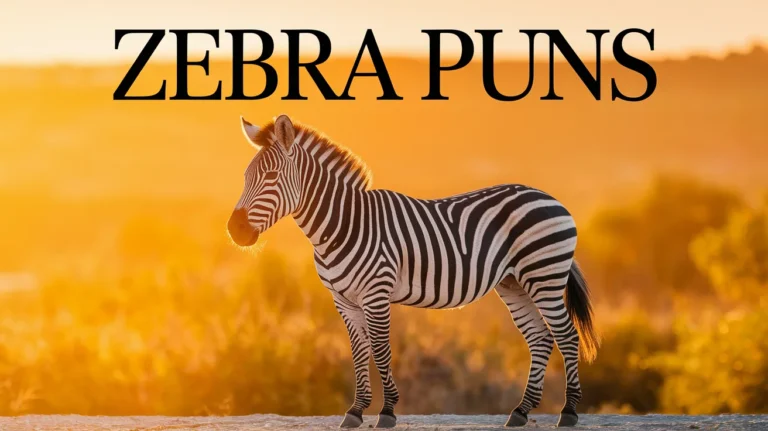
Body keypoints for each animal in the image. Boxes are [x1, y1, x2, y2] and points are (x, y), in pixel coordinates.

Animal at [227, 114, 599, 428]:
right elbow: (358, 351)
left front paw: (387, 412)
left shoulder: (376, 294)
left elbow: (380, 350)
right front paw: (356, 411)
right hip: (514, 283)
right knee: (540, 338)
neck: (343, 225)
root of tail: (549, 197)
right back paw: (521, 411)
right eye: (245, 178)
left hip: (544, 276)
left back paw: (568, 412)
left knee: (566, 335)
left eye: (271, 177)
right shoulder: (344, 301)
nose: (234, 231)